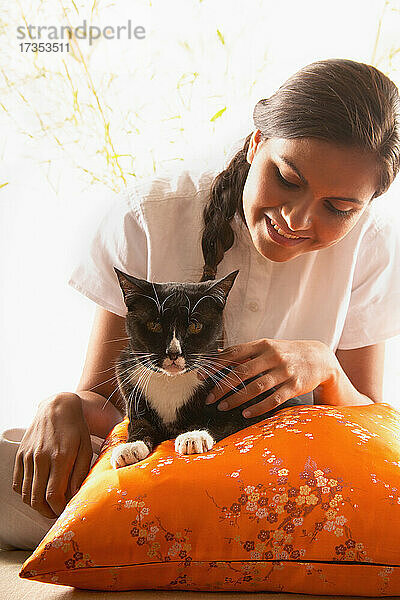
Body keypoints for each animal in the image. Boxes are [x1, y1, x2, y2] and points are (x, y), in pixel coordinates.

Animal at [109, 268, 304, 468]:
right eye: (154, 325)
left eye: (195, 326)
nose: (173, 353)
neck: (171, 380)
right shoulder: (130, 389)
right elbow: (139, 423)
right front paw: (130, 447)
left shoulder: (248, 401)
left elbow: (222, 419)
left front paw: (194, 436)